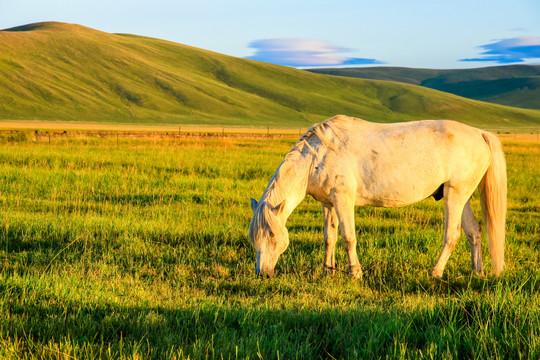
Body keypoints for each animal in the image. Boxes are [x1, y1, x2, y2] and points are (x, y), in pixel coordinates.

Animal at [249, 115, 506, 278]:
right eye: (254, 238)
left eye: (271, 235)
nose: (263, 274)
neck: (318, 155)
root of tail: (480, 133)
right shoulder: (328, 203)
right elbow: (329, 238)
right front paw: (326, 272)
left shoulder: (343, 200)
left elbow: (348, 238)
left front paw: (355, 273)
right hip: (461, 196)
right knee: (474, 231)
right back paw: (477, 272)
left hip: (455, 196)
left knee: (452, 235)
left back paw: (435, 272)